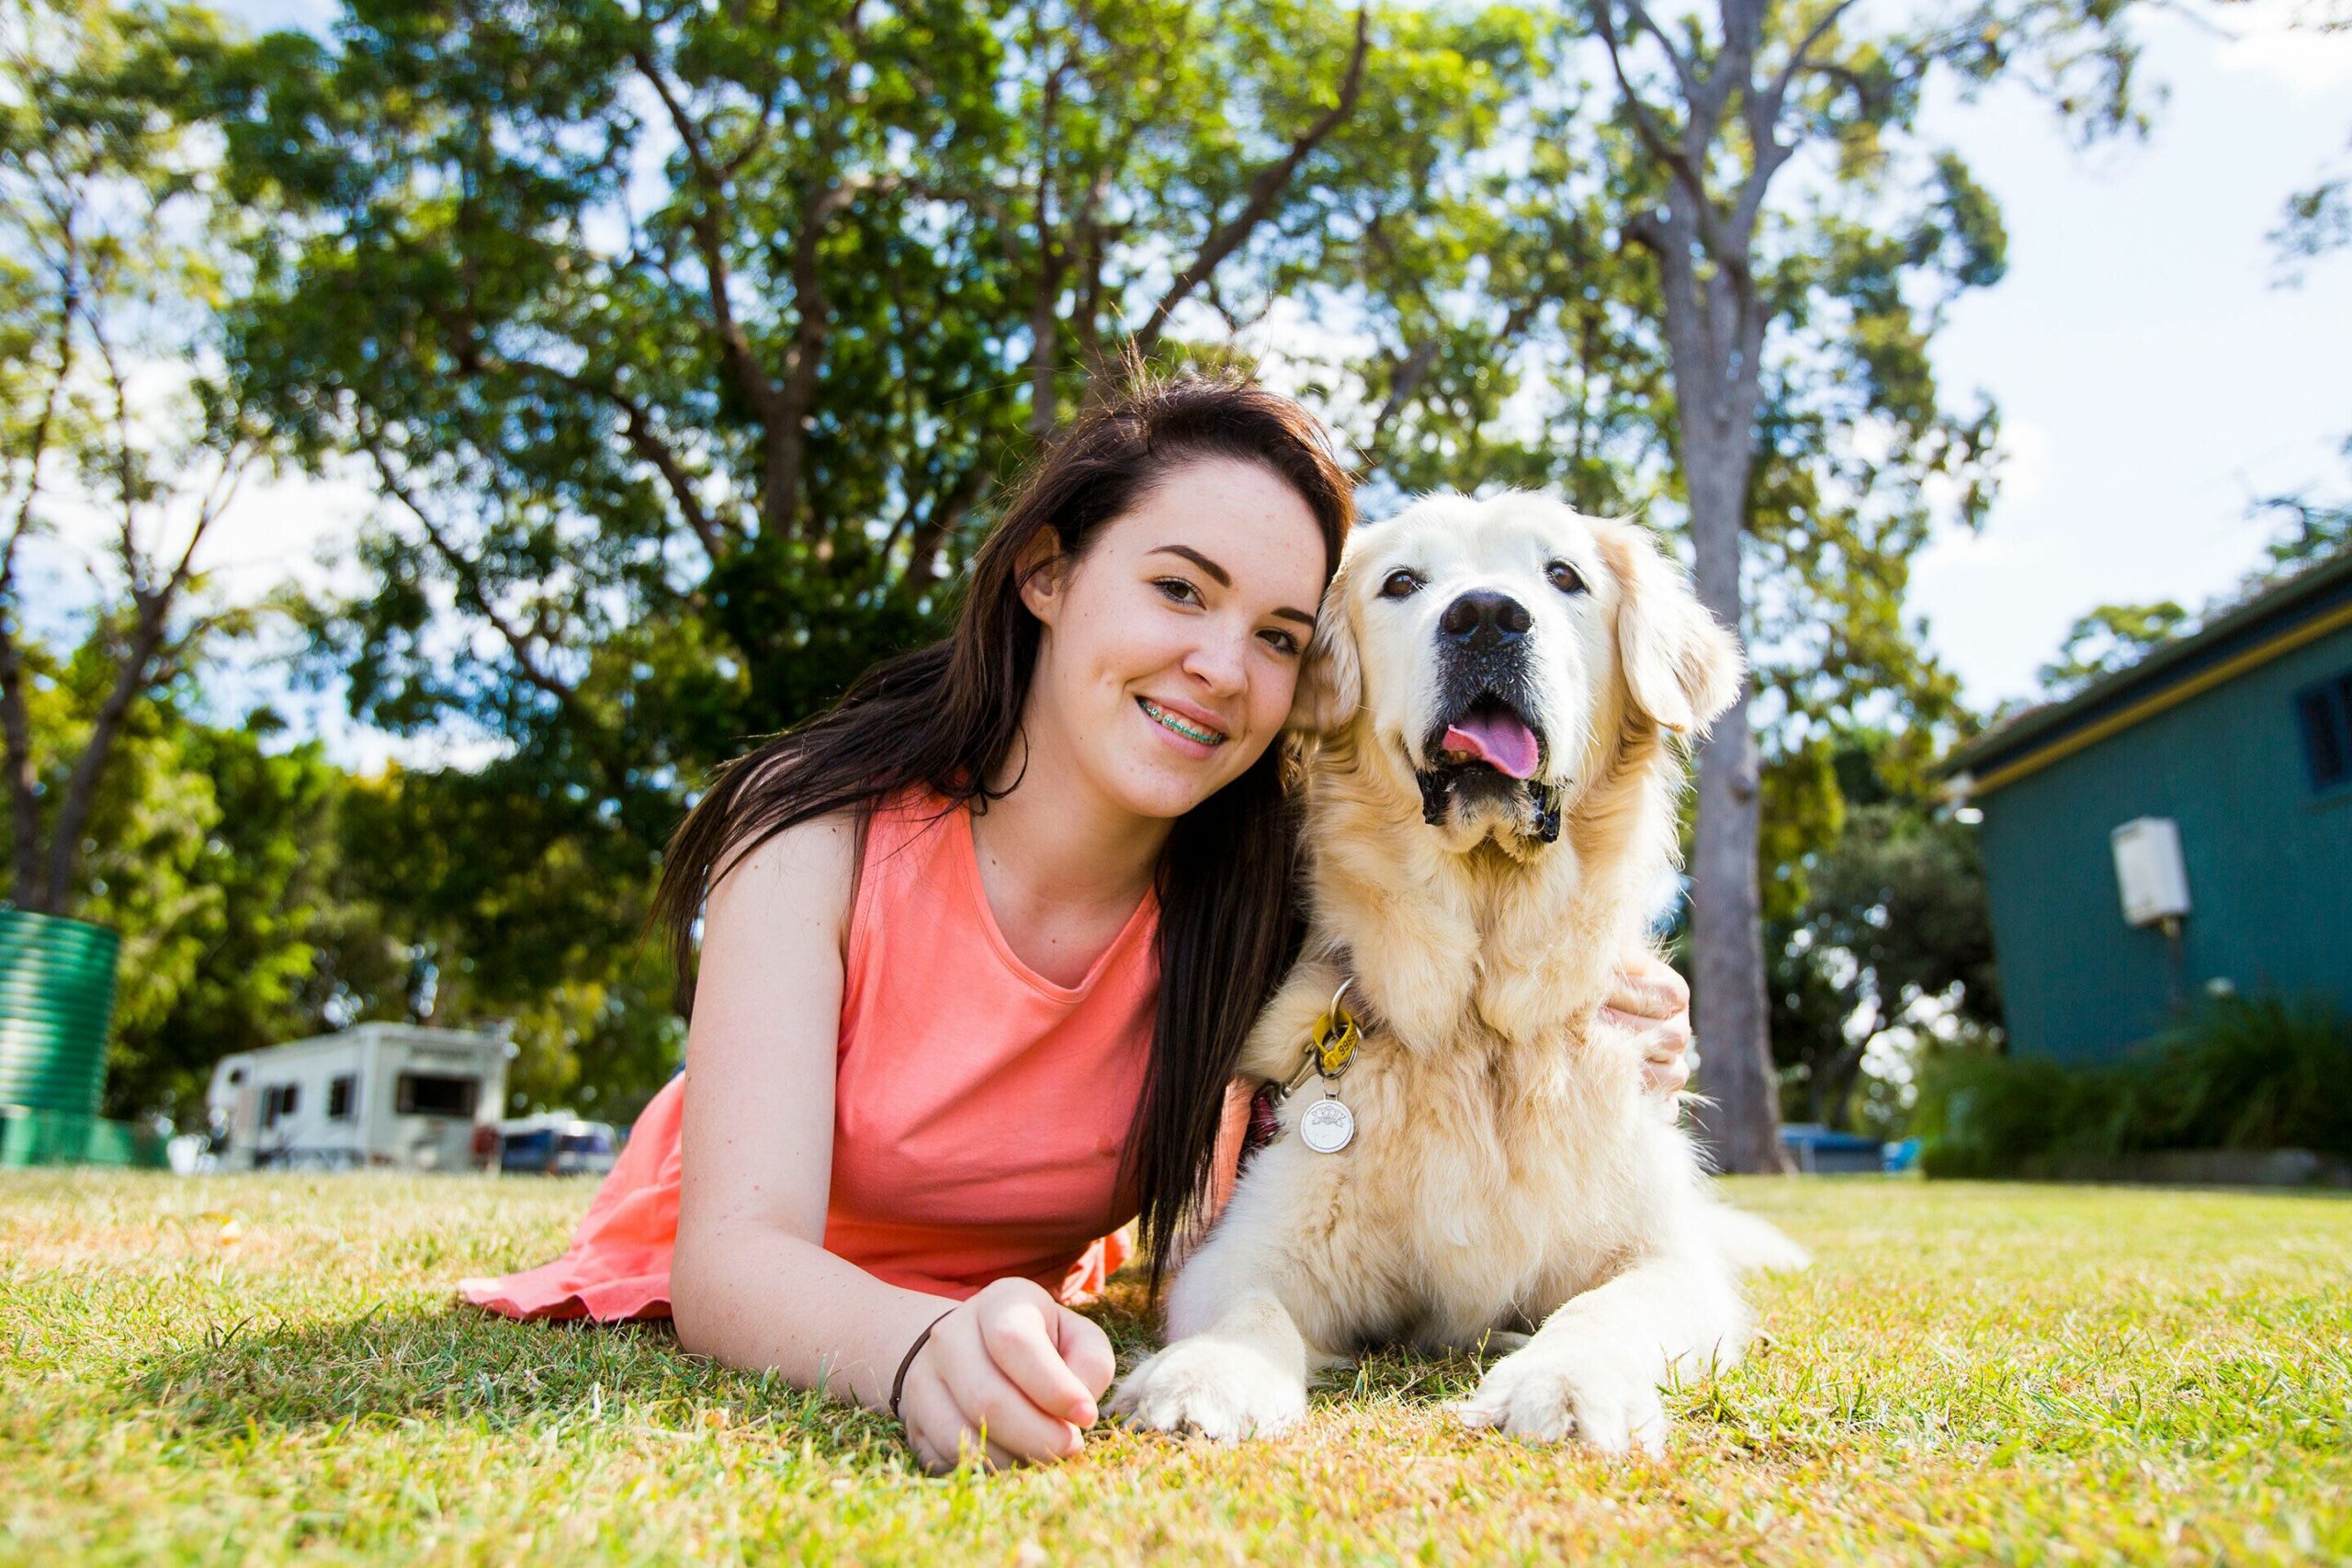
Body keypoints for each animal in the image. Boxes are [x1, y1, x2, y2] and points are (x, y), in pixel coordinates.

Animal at [1110, 493, 1806, 1457]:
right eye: (1403, 582)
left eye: (1563, 575)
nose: (1484, 616)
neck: (1482, 1027)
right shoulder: (1253, 1242)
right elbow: (1248, 1308)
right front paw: (1208, 1375)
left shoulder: (1663, 1257)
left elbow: (1610, 1308)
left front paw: (1564, 1382)